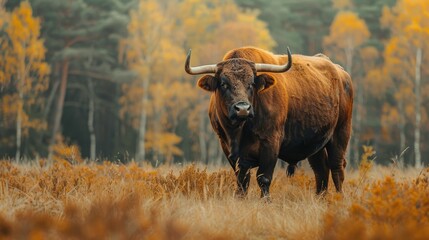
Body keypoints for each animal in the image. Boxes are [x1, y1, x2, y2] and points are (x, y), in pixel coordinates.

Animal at [184, 47, 352, 199]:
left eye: (251, 83)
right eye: (224, 84)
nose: (242, 109)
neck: (240, 131)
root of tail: (340, 72)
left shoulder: (271, 143)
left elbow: (263, 178)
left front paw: (266, 200)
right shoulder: (227, 147)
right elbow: (242, 180)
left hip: (340, 134)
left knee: (337, 167)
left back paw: (339, 198)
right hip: (316, 144)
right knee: (321, 169)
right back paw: (320, 198)